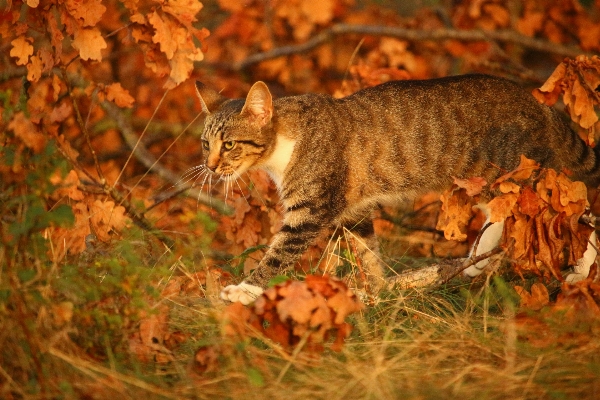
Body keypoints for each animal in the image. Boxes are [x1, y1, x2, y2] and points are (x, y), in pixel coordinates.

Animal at [196, 74, 600, 304]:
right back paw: (478, 260)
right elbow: (369, 252)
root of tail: (538, 103)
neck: (285, 142)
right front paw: (377, 292)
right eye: (205, 144)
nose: (211, 167)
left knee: (572, 206)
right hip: (487, 180)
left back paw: (575, 270)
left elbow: (278, 253)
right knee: (512, 212)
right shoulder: (354, 210)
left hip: (519, 172)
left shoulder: (309, 210)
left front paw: (245, 290)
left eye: (229, 145)